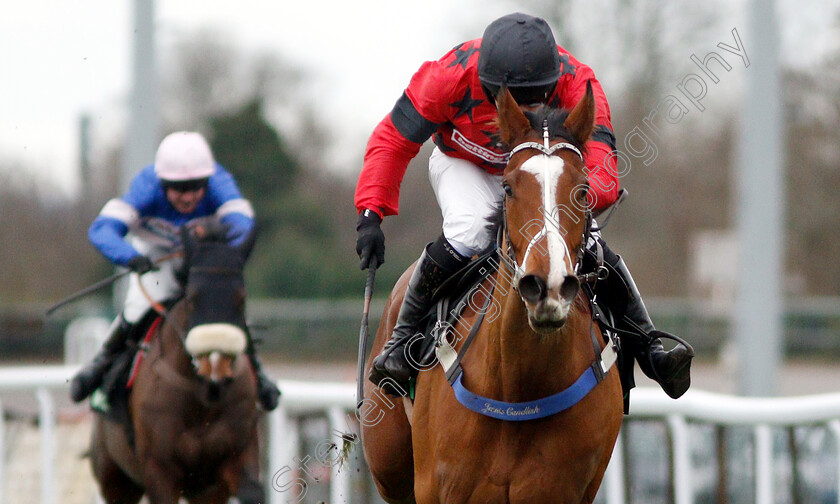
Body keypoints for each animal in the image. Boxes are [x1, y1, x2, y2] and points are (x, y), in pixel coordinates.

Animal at [90, 225, 264, 504]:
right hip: (115, 478)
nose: (215, 365)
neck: (202, 398)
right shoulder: (159, 470)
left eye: (242, 298)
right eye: (192, 297)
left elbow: (252, 490)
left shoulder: (236, 457)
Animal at [360, 84, 624, 502]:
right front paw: (369, 229)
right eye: (508, 187)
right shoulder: (438, 486)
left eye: (583, 191)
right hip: (391, 469)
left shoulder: (562, 489)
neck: (517, 387)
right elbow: (398, 135)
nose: (546, 286)